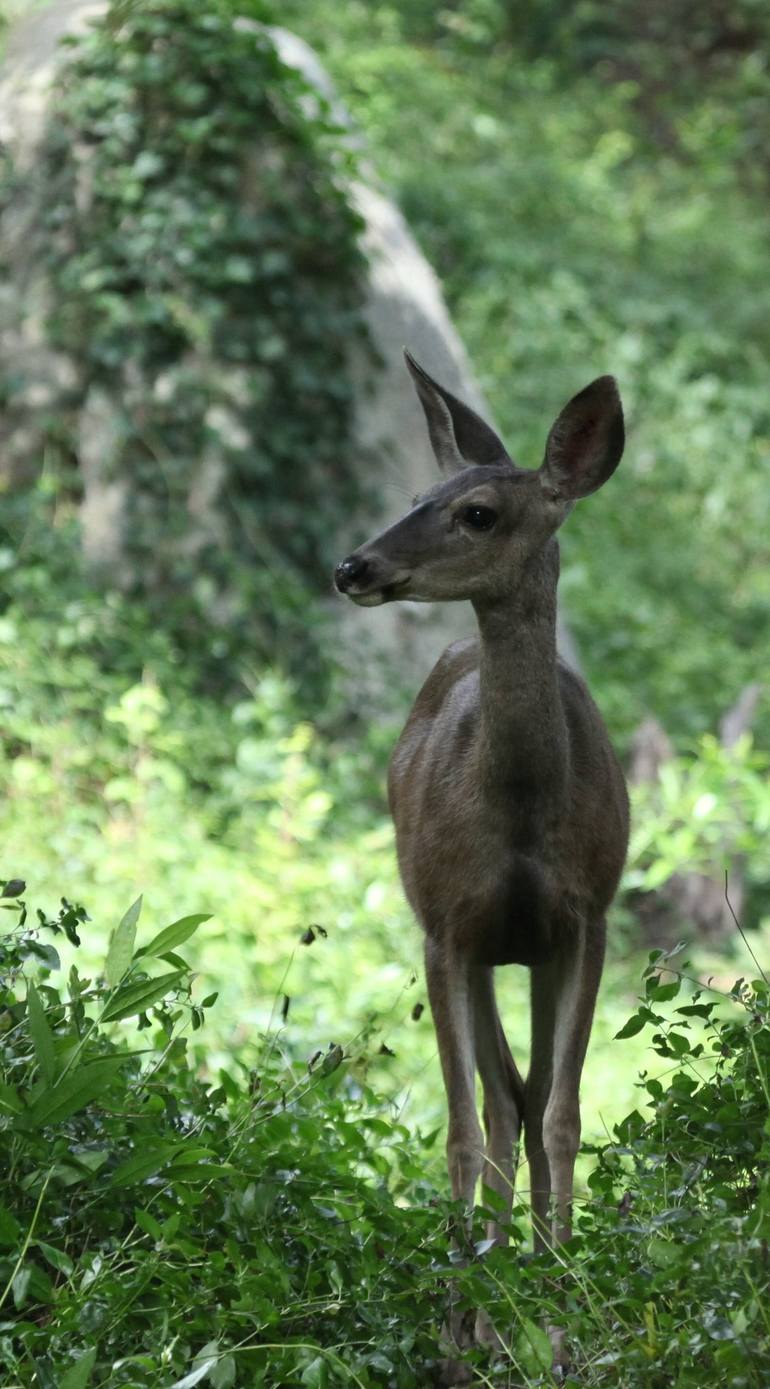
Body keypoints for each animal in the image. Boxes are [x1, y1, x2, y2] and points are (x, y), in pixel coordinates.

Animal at [332, 352, 625, 1361]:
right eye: (417, 494)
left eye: (479, 513)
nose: (353, 566)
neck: (523, 813)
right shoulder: (448, 924)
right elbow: (463, 1123)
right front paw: (454, 1324)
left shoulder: (584, 919)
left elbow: (564, 1115)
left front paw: (567, 1318)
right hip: (469, 937)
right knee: (499, 1102)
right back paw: (483, 1300)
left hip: (525, 952)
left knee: (525, 1101)